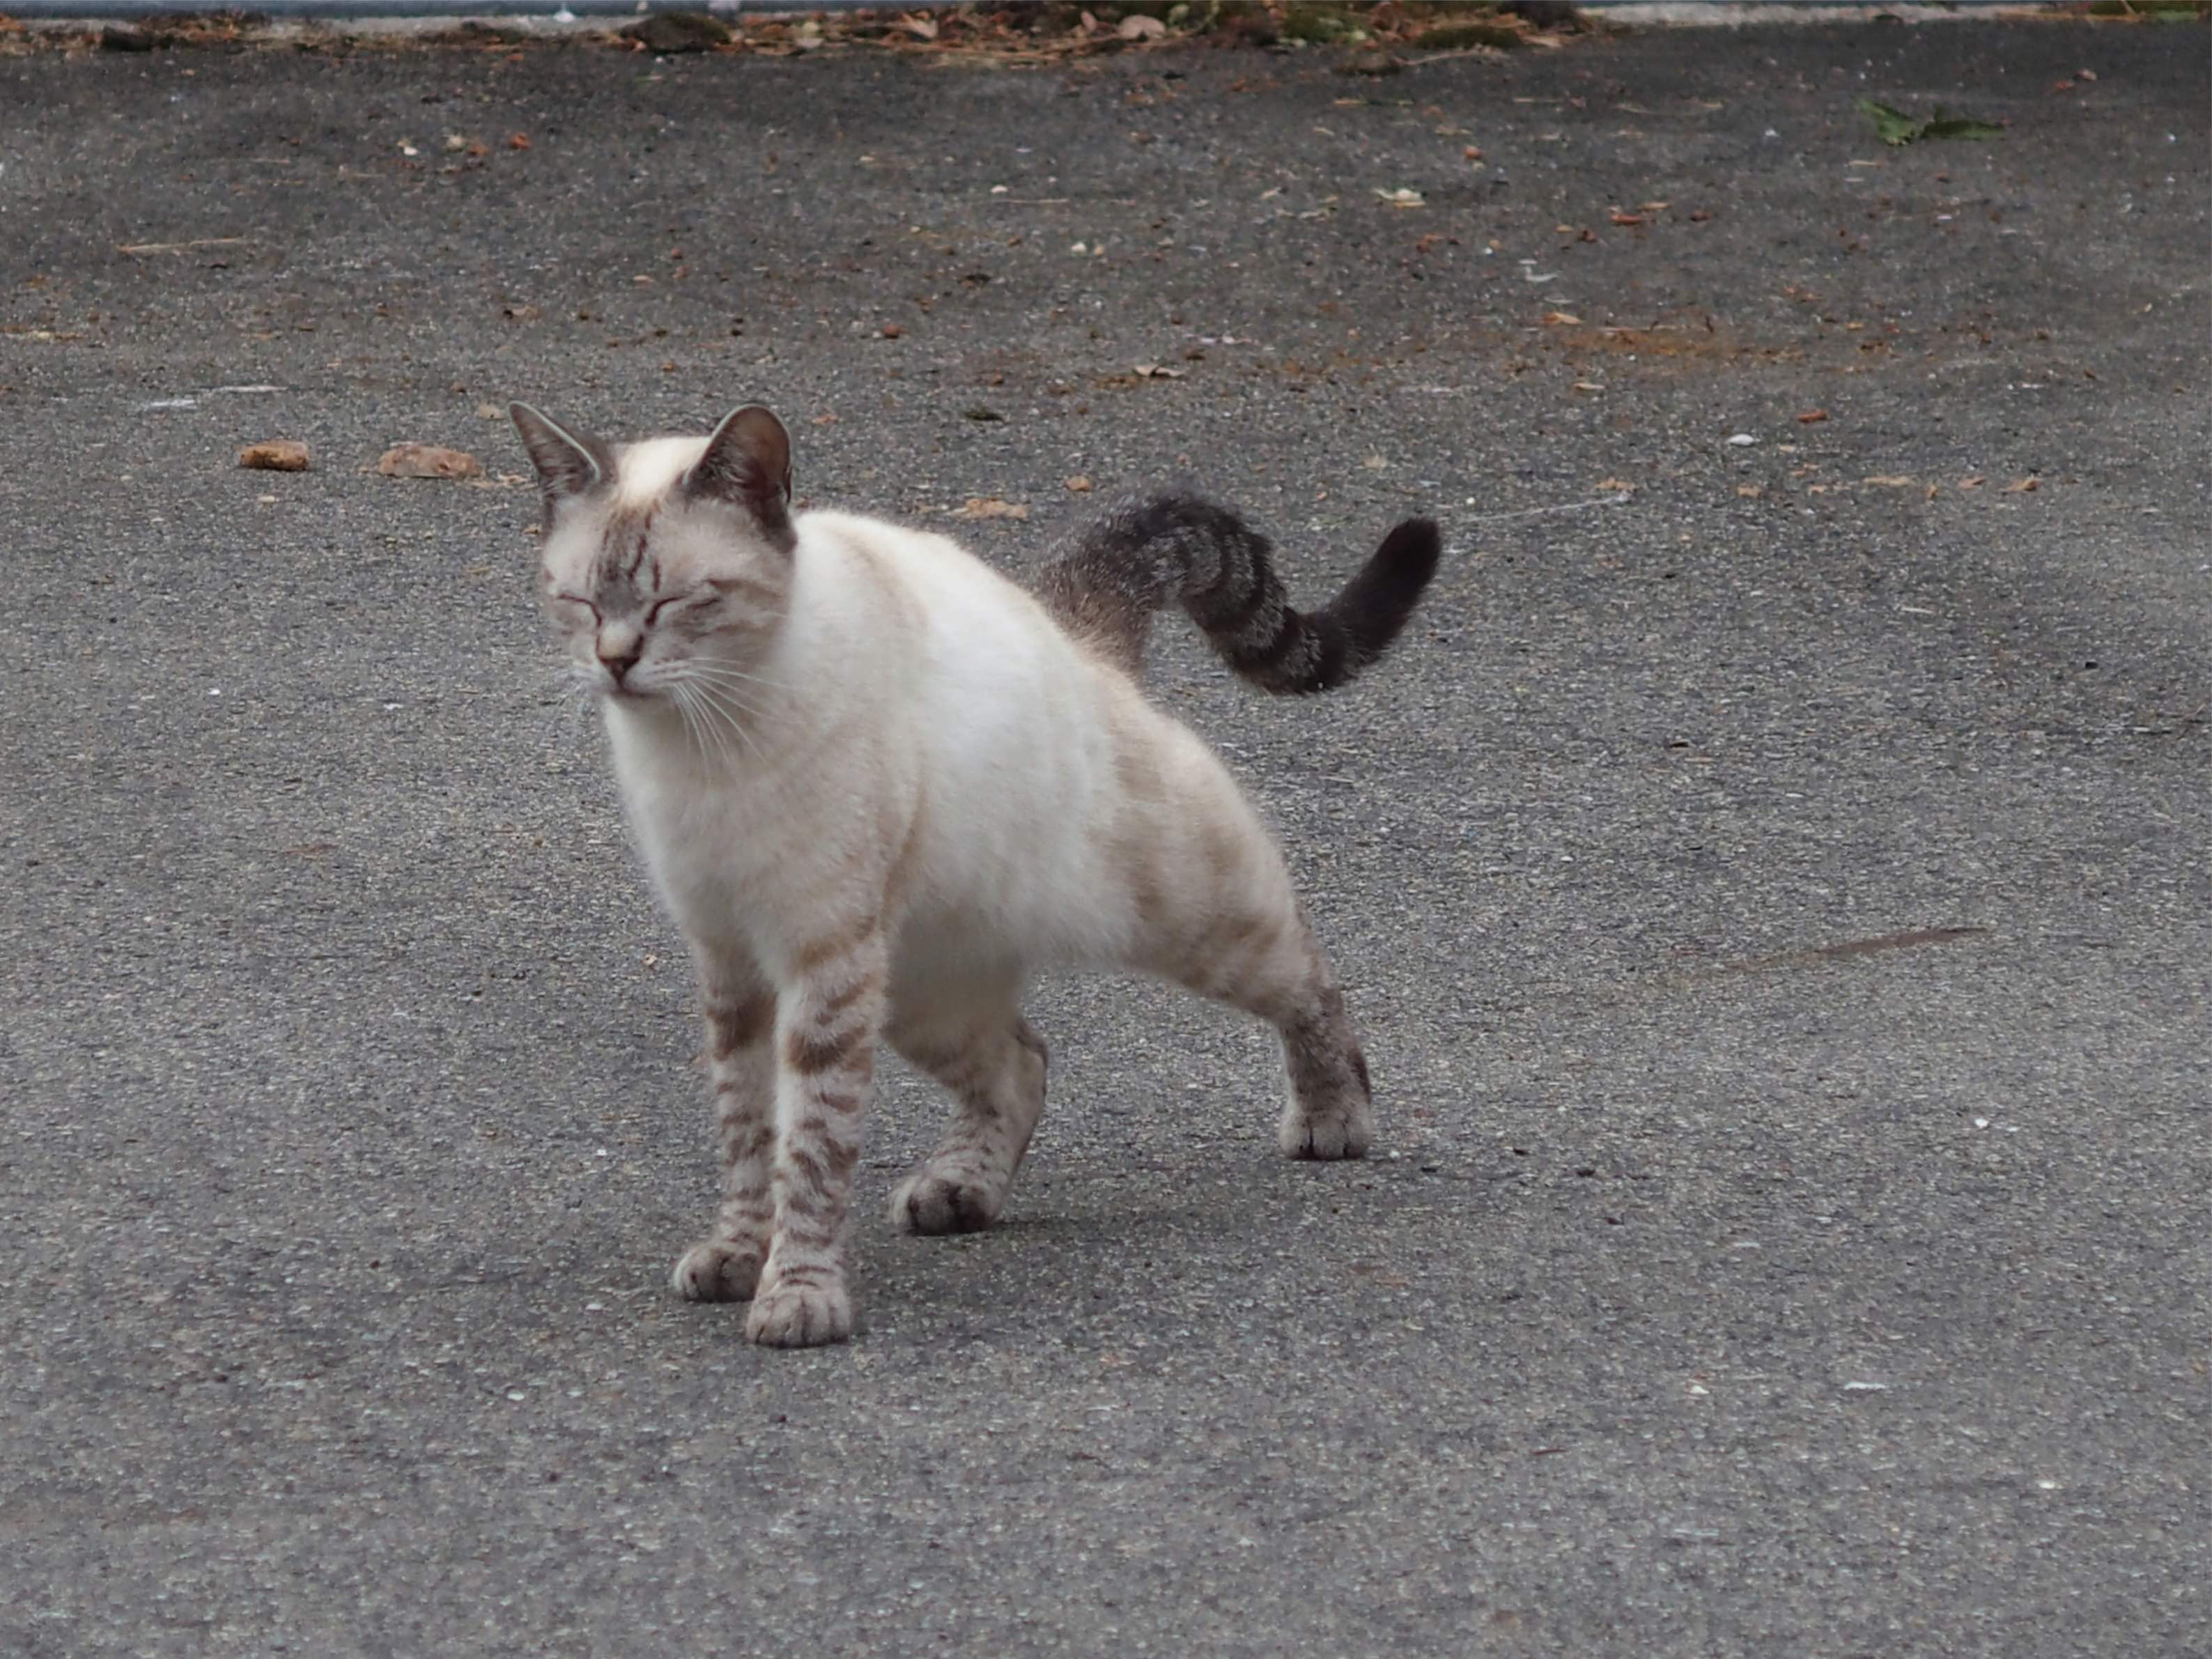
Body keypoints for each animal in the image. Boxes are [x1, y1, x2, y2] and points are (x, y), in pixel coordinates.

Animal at [510, 401, 1440, 1347]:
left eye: (673, 599)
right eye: (579, 599)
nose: (614, 660)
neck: (705, 741)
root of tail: (1070, 628)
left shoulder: (821, 958)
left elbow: (810, 1148)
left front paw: (798, 1293)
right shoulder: (733, 963)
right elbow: (748, 1134)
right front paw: (740, 1254)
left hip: (1185, 917)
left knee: (1308, 981)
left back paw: (1331, 1118)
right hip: (919, 989)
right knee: (1022, 1063)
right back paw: (960, 1190)